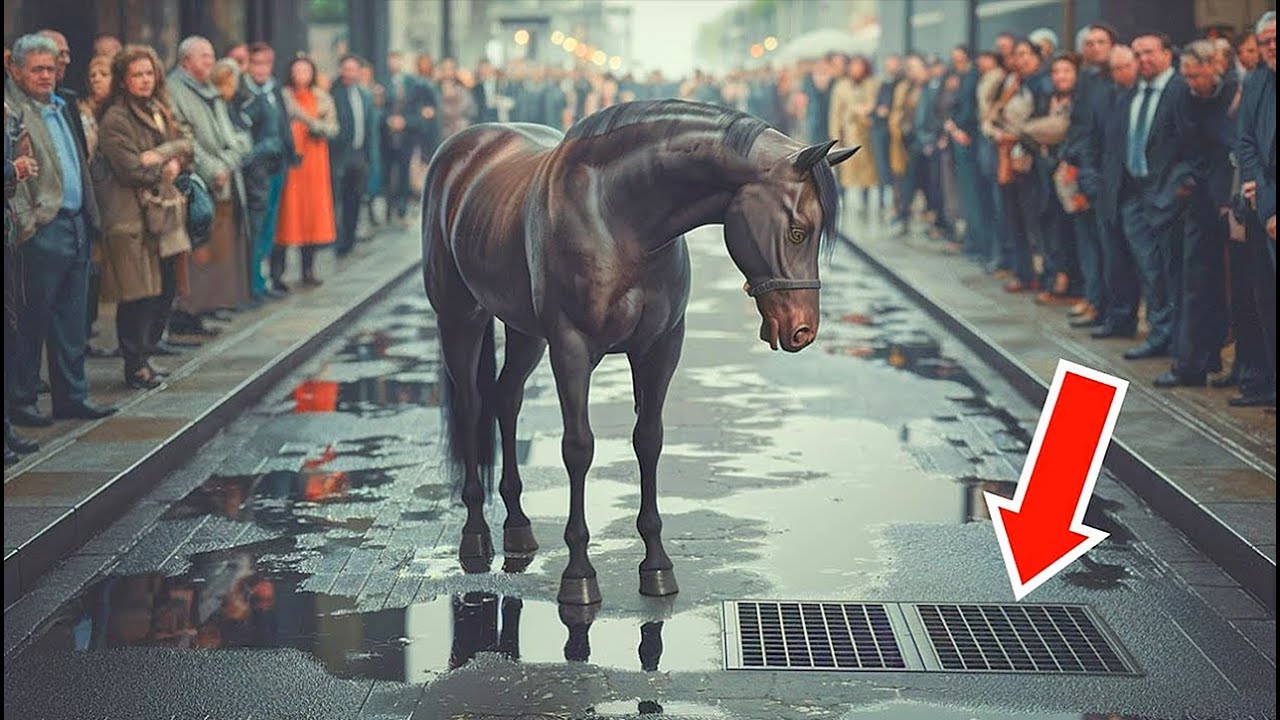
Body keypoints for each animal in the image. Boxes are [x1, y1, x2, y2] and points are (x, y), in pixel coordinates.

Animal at [422, 99, 856, 606]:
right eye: (797, 232)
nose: (803, 330)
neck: (620, 220)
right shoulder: (570, 348)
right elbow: (578, 448)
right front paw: (579, 574)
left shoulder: (661, 346)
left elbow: (648, 440)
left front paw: (657, 565)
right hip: (461, 318)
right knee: (472, 405)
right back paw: (475, 533)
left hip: (524, 330)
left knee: (506, 399)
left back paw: (518, 526)